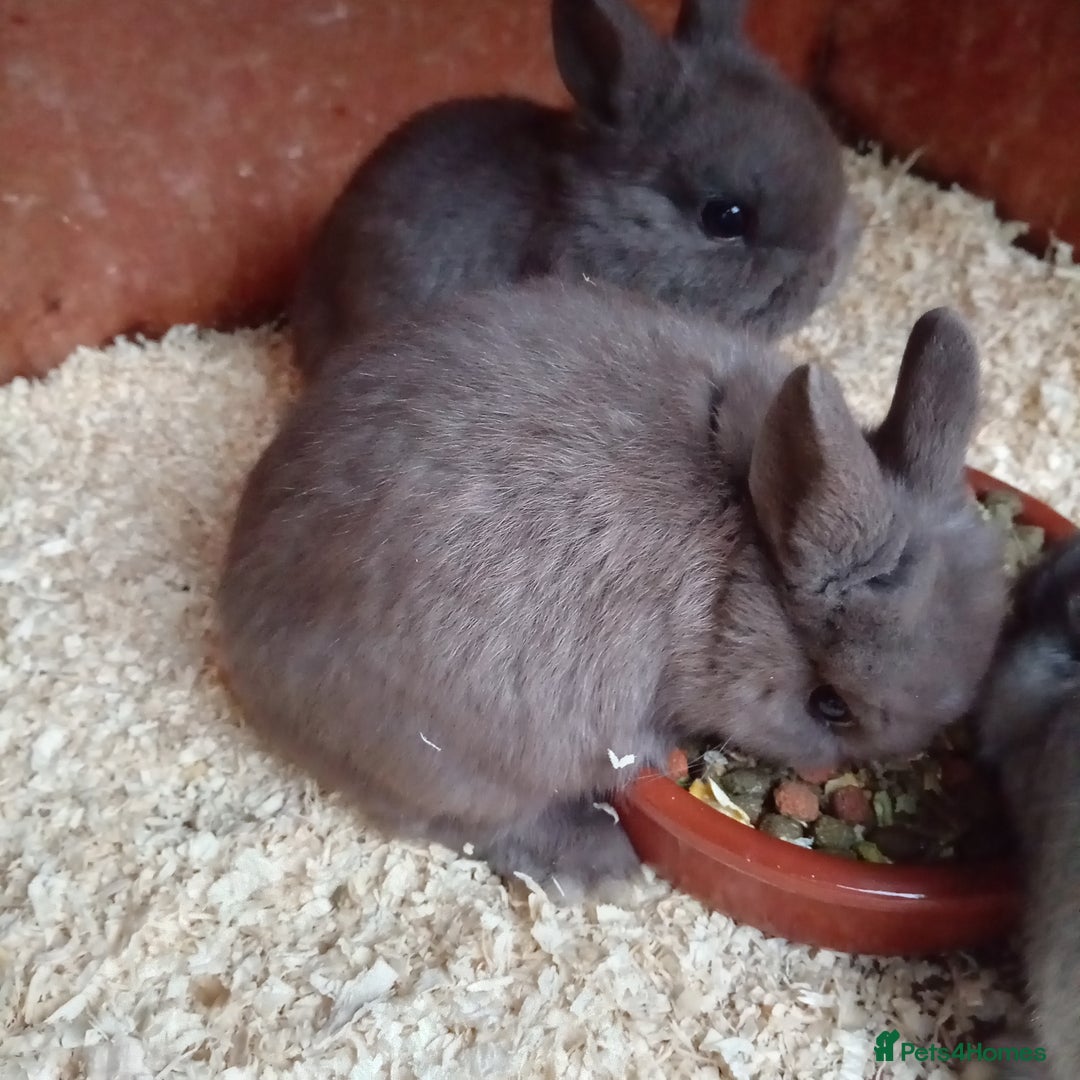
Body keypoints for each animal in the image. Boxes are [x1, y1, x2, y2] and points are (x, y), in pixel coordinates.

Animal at [216, 278, 1005, 896]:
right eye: (830, 705)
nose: (866, 762)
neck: (739, 552)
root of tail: (243, 652)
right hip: (466, 758)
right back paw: (603, 866)